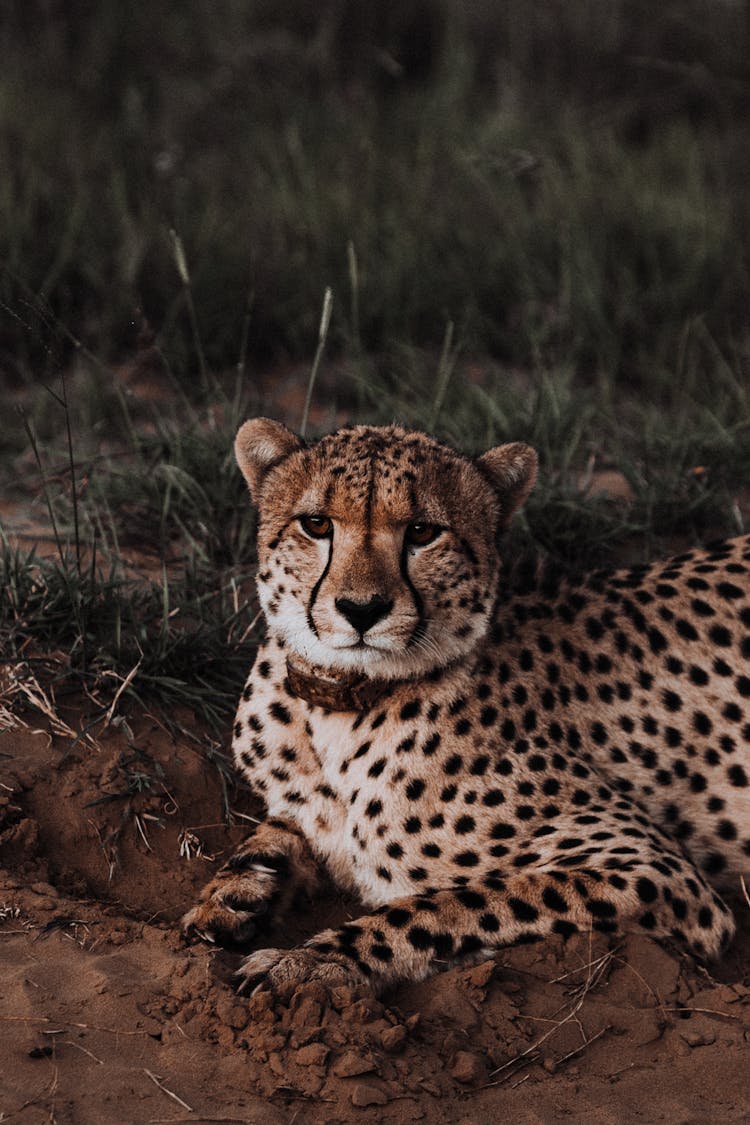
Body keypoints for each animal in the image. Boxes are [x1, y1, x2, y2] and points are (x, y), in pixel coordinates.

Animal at [182, 420, 750, 994]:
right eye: (316, 524)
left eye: (421, 532)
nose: (361, 609)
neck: (339, 709)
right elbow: (277, 831)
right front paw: (233, 892)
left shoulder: (654, 870)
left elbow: (450, 904)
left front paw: (314, 962)